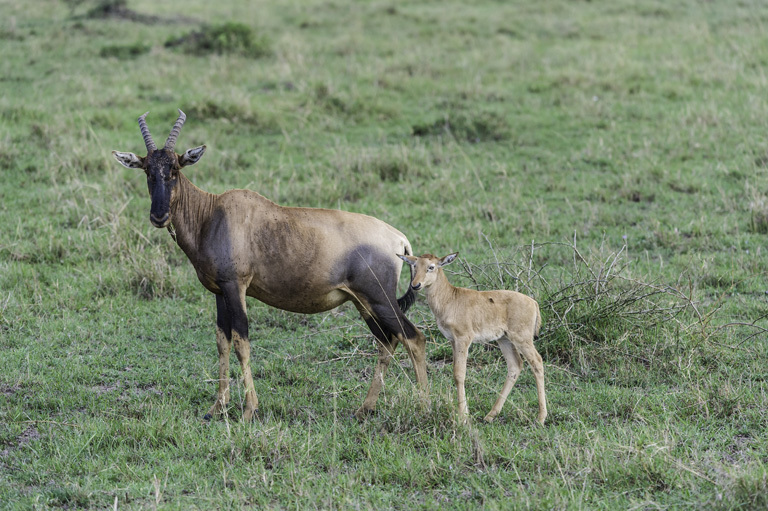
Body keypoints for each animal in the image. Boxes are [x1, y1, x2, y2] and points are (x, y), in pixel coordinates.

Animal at [113, 110, 428, 422]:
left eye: (175, 169)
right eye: (147, 171)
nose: (159, 216)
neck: (212, 215)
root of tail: (398, 238)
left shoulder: (236, 286)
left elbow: (242, 342)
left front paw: (249, 409)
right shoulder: (219, 292)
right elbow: (222, 342)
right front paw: (217, 407)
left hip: (380, 299)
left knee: (414, 337)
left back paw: (423, 406)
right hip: (364, 303)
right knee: (388, 341)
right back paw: (365, 408)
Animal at [402, 252, 544, 424]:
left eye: (431, 266)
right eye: (415, 265)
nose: (415, 285)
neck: (451, 298)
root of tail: (533, 302)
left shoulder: (464, 339)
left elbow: (459, 374)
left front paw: (463, 417)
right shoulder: (453, 341)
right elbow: (456, 372)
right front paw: (464, 413)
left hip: (522, 339)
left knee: (537, 362)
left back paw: (541, 418)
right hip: (504, 339)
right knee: (515, 365)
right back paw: (490, 415)